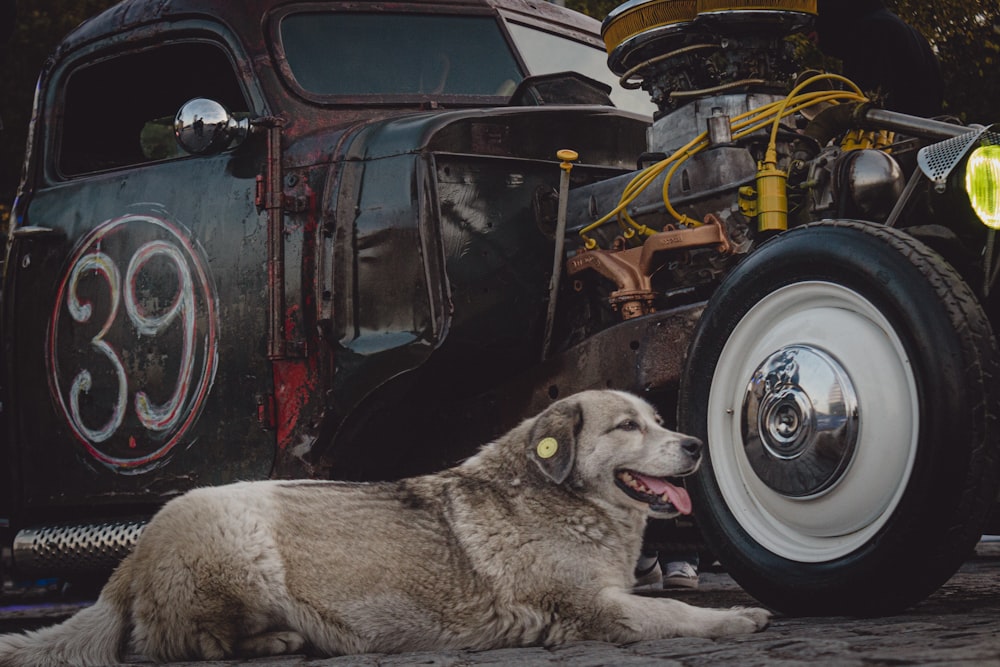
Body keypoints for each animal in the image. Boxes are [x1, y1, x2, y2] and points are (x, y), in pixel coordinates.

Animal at [0, 388, 768, 664]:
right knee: (190, 644)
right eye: (628, 426)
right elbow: (673, 610)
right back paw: (278, 640)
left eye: (659, 419)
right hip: (238, 539)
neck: (560, 498)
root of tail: (129, 560)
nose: (695, 443)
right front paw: (736, 618)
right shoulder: (591, 610)